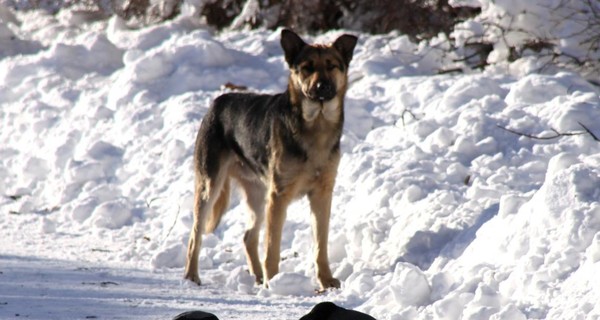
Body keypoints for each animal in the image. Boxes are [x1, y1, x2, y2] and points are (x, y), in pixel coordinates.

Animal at [184, 29, 356, 290]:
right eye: (307, 67)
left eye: (332, 66)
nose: (322, 86)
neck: (316, 124)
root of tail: (216, 102)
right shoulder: (279, 195)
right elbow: (273, 248)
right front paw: (274, 281)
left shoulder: (322, 194)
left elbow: (321, 245)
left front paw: (325, 280)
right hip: (210, 186)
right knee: (196, 234)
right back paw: (192, 276)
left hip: (257, 194)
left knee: (248, 236)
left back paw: (256, 278)